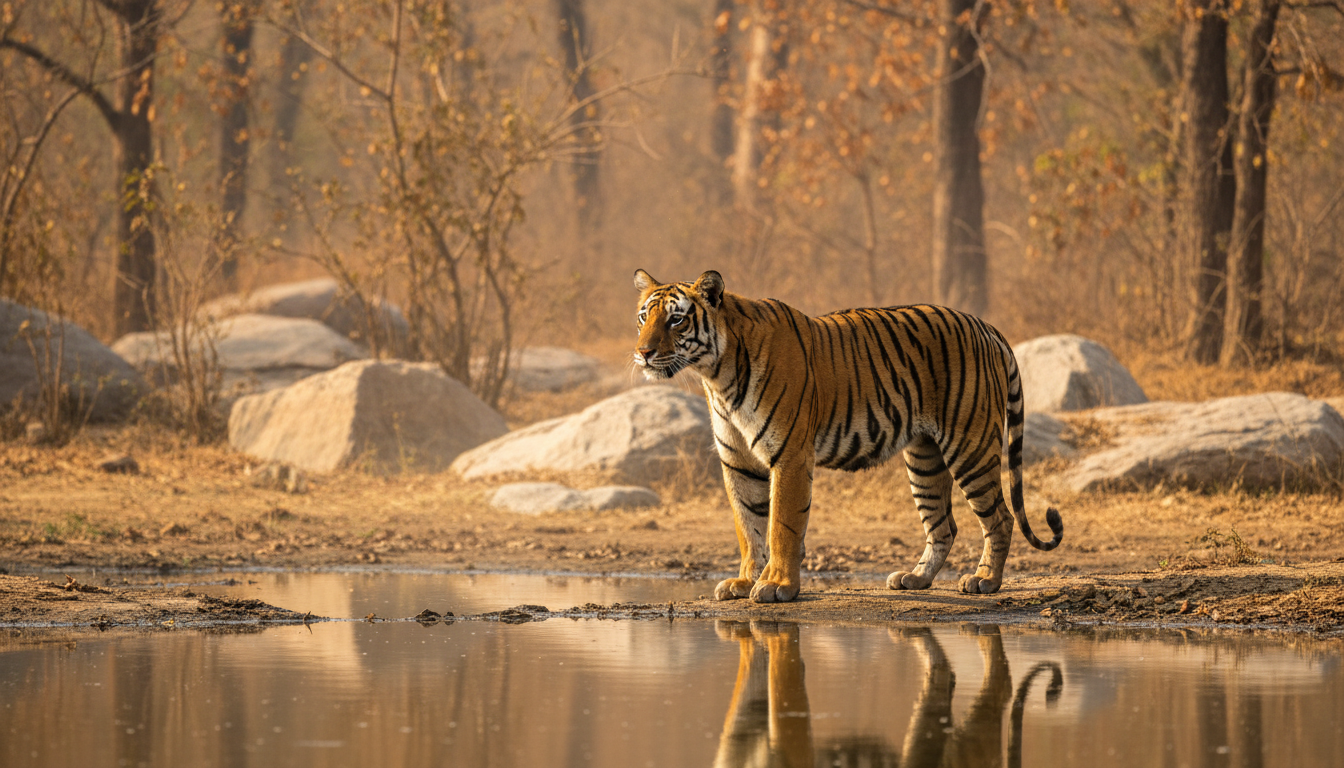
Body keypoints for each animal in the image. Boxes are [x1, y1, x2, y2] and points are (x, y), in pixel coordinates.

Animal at [632, 269, 1063, 603]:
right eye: (642, 317)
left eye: (676, 320)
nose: (643, 353)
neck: (716, 375)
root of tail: (986, 326)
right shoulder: (738, 462)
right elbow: (749, 526)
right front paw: (743, 581)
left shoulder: (789, 456)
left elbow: (781, 525)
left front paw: (777, 586)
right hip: (924, 456)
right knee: (944, 524)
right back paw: (916, 578)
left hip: (969, 445)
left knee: (1000, 517)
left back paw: (985, 580)